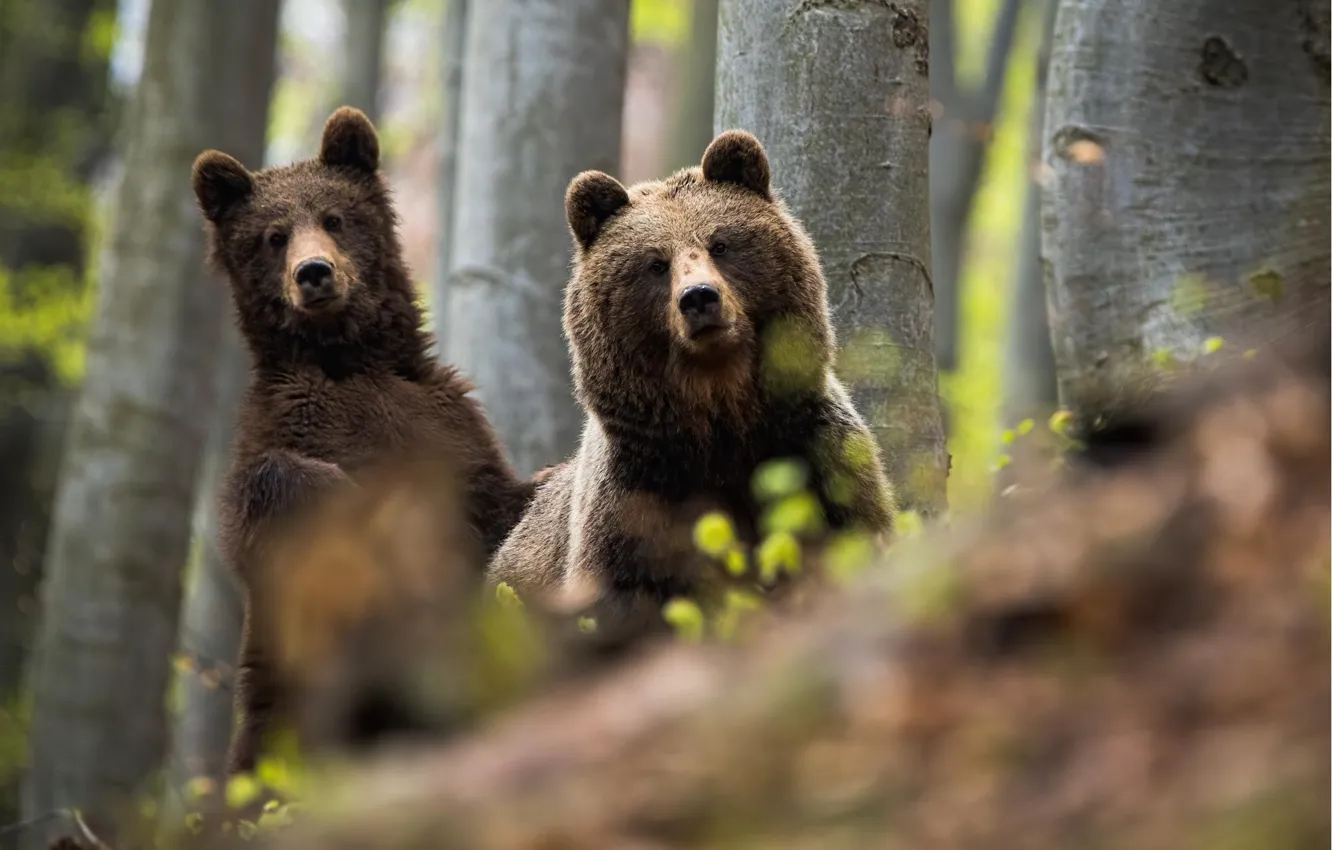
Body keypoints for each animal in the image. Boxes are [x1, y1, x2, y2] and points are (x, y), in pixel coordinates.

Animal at [191, 106, 538, 774]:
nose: (314, 273)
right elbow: (270, 500)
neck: (348, 360)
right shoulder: (286, 425)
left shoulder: (447, 428)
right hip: (280, 711)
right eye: (274, 235)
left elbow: (500, 503)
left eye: (334, 217)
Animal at [488, 129, 896, 646]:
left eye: (720, 243)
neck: (720, 415)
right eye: (655, 263)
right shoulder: (634, 502)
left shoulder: (817, 455)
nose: (700, 297)